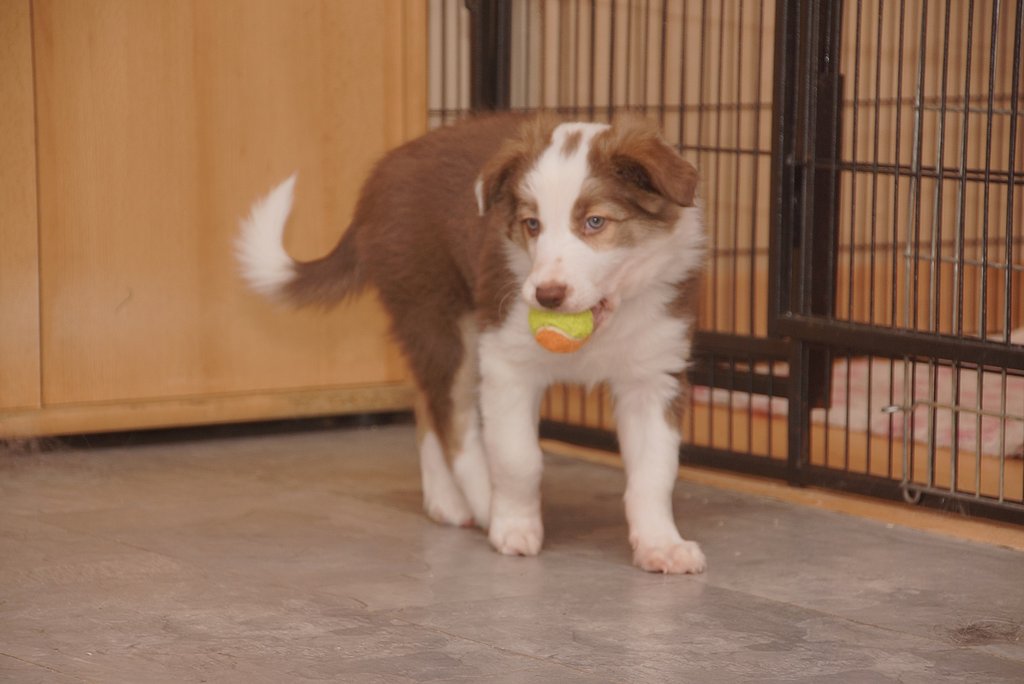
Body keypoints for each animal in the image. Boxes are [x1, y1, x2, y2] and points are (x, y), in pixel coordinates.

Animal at [236, 113, 707, 573]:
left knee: (427, 406)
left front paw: (661, 545)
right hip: (438, 316)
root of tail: (383, 173)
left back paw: (446, 502)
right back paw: (479, 505)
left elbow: (654, 471)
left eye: (595, 222)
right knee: (452, 416)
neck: (604, 322)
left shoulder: (654, 374)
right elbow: (519, 457)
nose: (546, 296)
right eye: (532, 225)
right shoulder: (506, 360)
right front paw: (513, 525)